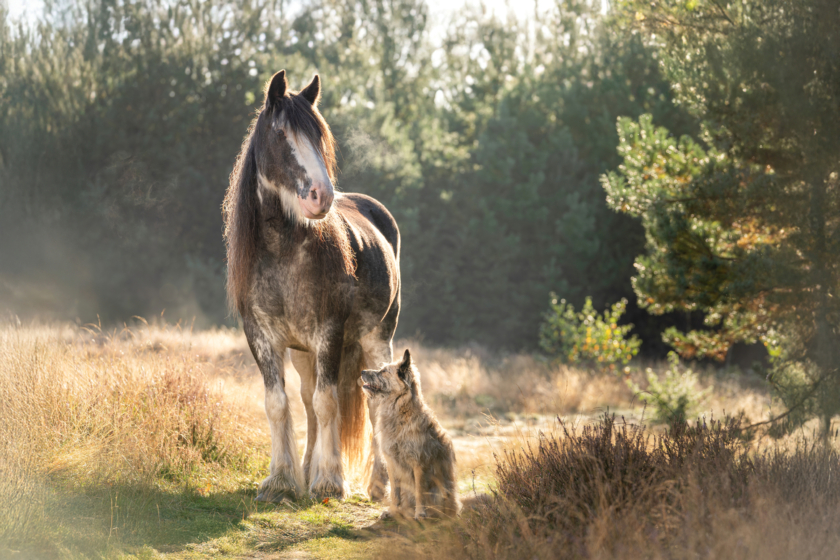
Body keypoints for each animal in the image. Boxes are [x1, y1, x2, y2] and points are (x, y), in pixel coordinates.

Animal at [223, 71, 400, 504]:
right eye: (281, 133)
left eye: (319, 135)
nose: (323, 196)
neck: (283, 252)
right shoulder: (260, 336)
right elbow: (279, 403)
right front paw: (281, 480)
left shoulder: (329, 333)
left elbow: (327, 402)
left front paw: (329, 482)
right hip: (303, 352)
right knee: (305, 398)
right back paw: (305, 470)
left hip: (376, 339)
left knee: (373, 404)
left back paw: (378, 485)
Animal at [360, 350, 460, 520]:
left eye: (383, 371)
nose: (362, 371)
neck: (400, 412)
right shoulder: (392, 462)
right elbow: (395, 492)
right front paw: (393, 510)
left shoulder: (419, 462)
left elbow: (420, 490)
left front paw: (420, 513)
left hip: (443, 490)